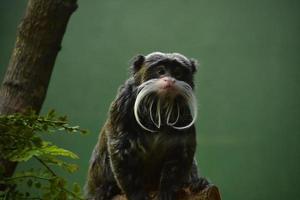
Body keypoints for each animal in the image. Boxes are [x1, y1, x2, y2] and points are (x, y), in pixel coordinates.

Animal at [85, 52, 209, 199]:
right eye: (161, 71)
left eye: (177, 73)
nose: (170, 80)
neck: (158, 108)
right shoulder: (123, 104)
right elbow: (121, 148)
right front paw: (136, 194)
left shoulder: (184, 114)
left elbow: (180, 152)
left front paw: (167, 192)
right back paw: (105, 189)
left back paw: (196, 183)